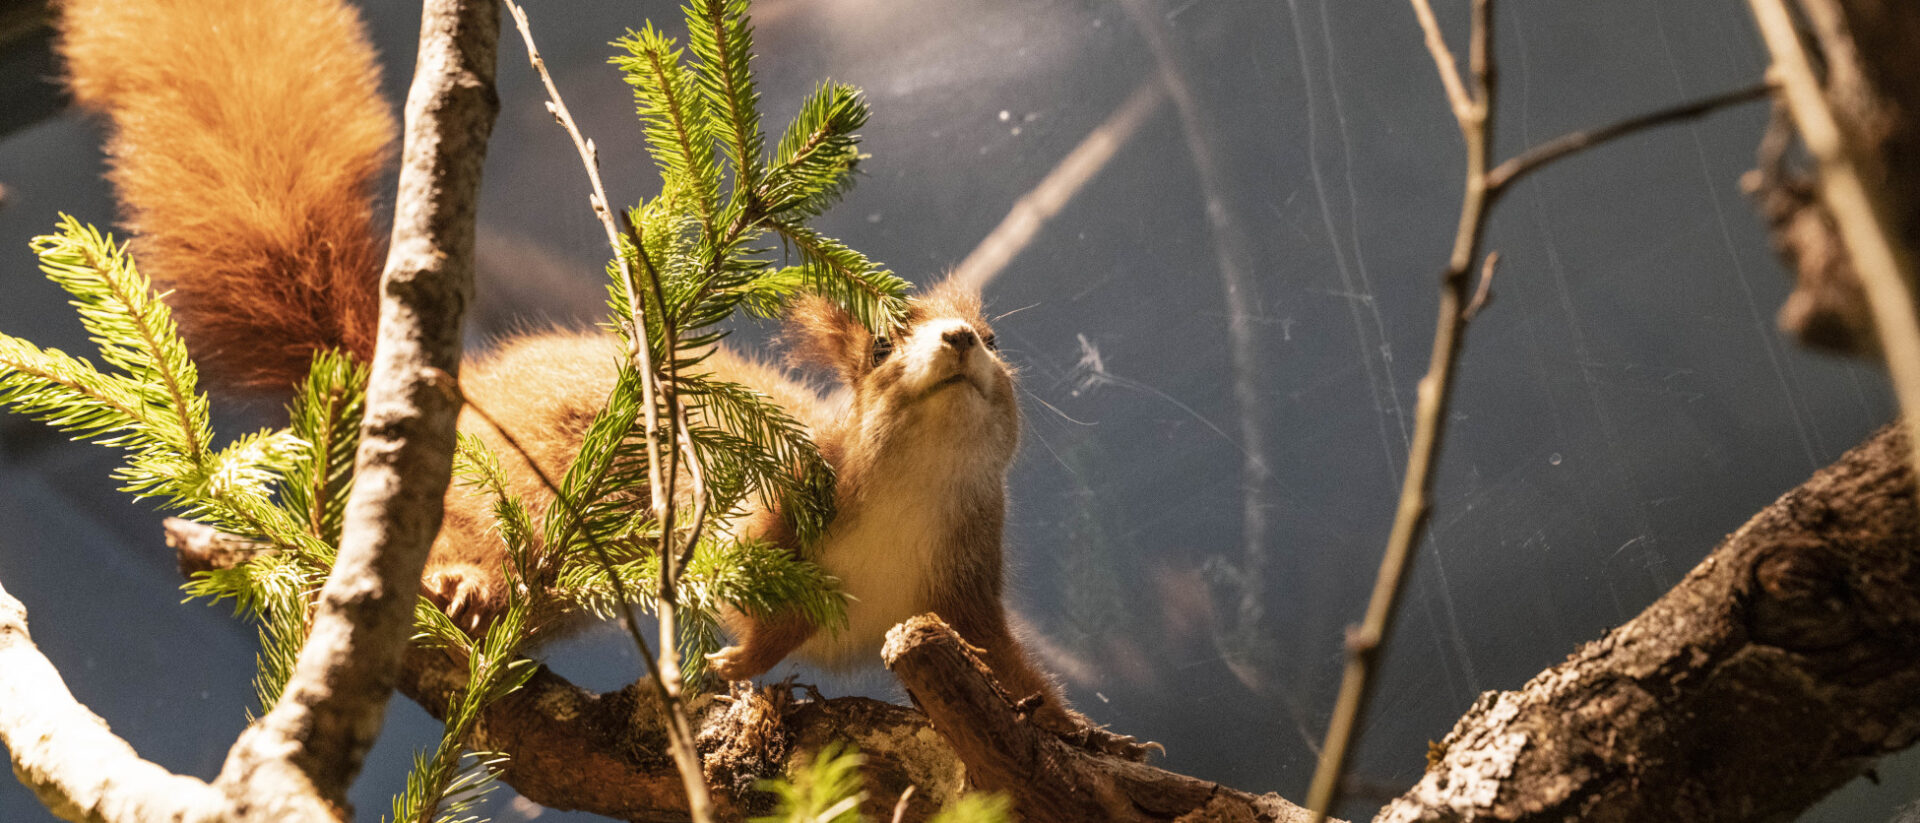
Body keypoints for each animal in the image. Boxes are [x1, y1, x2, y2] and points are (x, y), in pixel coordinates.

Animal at [56, 0, 1130, 746]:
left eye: (990, 337)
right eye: (877, 349)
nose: (958, 345)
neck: (913, 487)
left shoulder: (960, 594)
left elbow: (1009, 667)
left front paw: (1078, 728)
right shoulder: (775, 519)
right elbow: (760, 609)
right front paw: (736, 664)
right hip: (496, 501)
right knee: (464, 541)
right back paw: (462, 583)